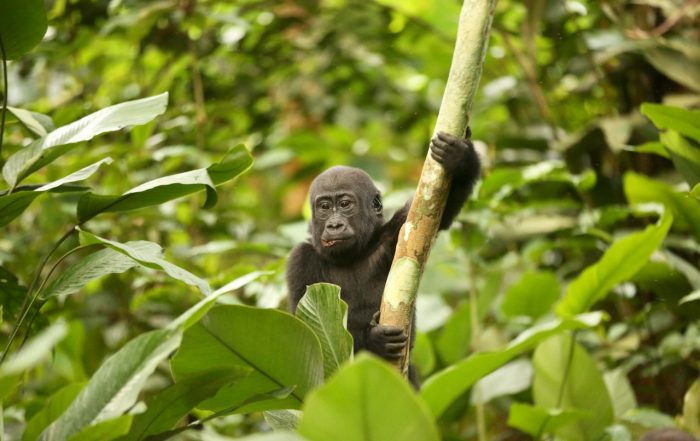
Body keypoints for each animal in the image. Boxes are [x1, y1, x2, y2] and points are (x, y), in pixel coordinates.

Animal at [287, 130, 480, 384]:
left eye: (345, 204)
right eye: (325, 207)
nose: (334, 225)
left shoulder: (398, 232)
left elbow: (436, 212)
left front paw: (460, 159)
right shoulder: (299, 260)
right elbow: (308, 332)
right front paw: (375, 340)